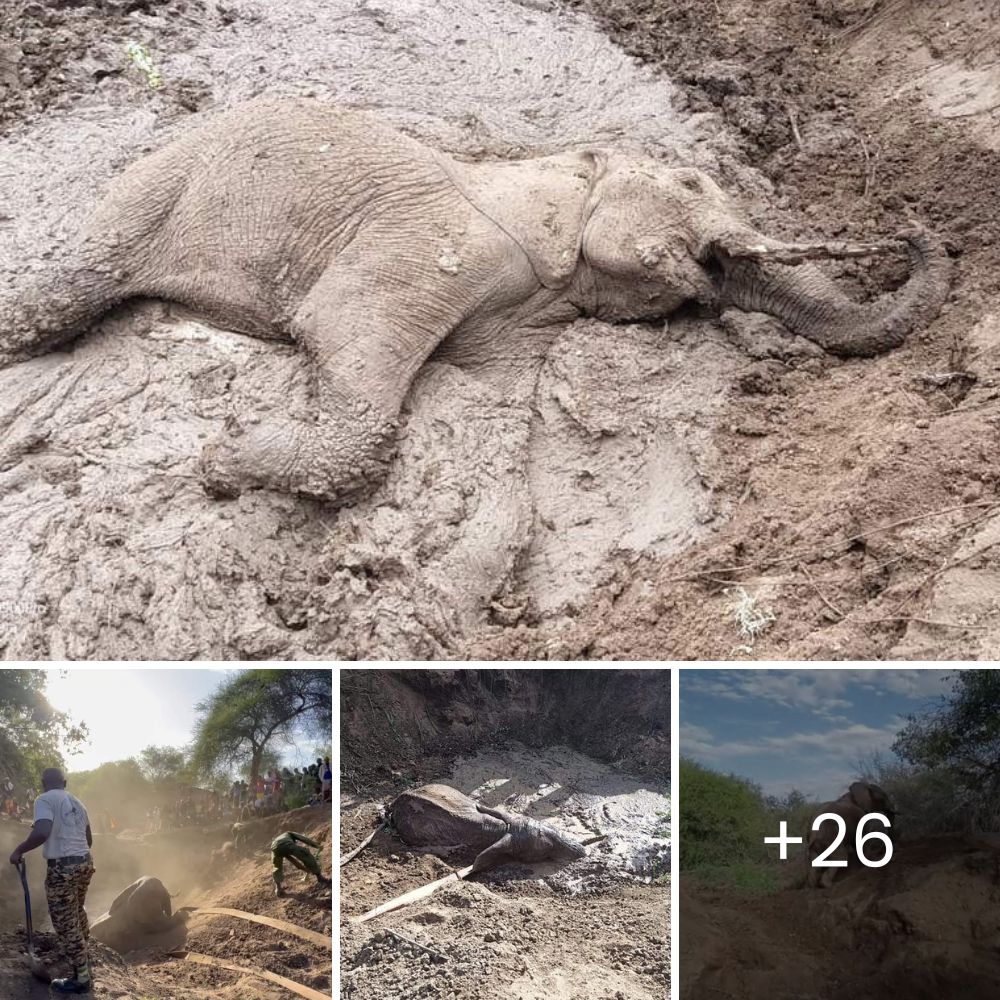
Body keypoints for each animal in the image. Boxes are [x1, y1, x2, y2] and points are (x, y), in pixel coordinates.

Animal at [0, 99, 952, 500]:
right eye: (689, 183)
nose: (915, 229)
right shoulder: (423, 248)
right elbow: (349, 378)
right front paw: (222, 461)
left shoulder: (520, 316)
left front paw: (227, 456)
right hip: (152, 192)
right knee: (57, 299)